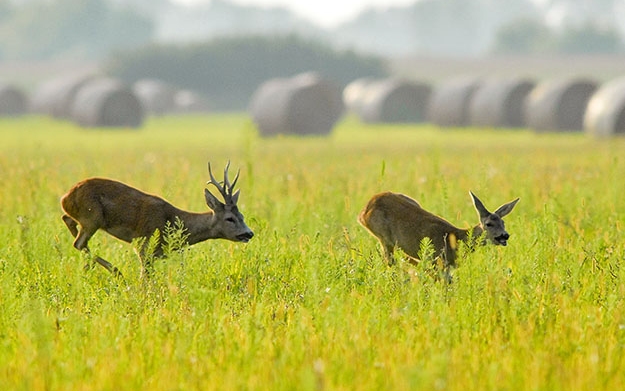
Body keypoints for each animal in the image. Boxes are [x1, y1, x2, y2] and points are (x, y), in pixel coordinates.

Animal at [59, 162, 252, 278]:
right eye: (229, 218)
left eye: (242, 216)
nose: (249, 233)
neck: (174, 221)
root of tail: (65, 197)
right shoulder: (144, 246)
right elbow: (146, 279)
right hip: (93, 217)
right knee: (79, 243)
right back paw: (117, 272)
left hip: (86, 218)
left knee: (69, 222)